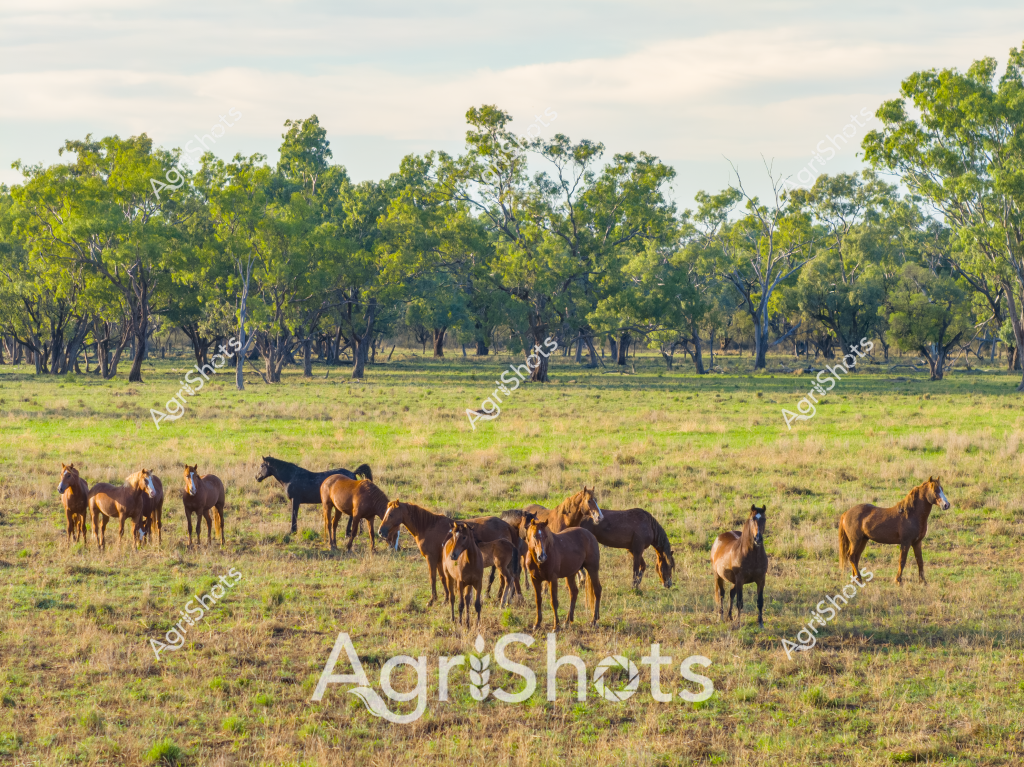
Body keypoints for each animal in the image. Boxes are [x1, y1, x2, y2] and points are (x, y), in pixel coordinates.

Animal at [377, 500, 522, 606]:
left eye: (391, 514)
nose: (380, 531)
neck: (428, 527)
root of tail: (506, 525)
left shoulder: (431, 558)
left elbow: (433, 578)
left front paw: (432, 600)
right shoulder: (439, 560)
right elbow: (443, 578)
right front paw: (446, 599)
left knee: (506, 579)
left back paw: (501, 599)